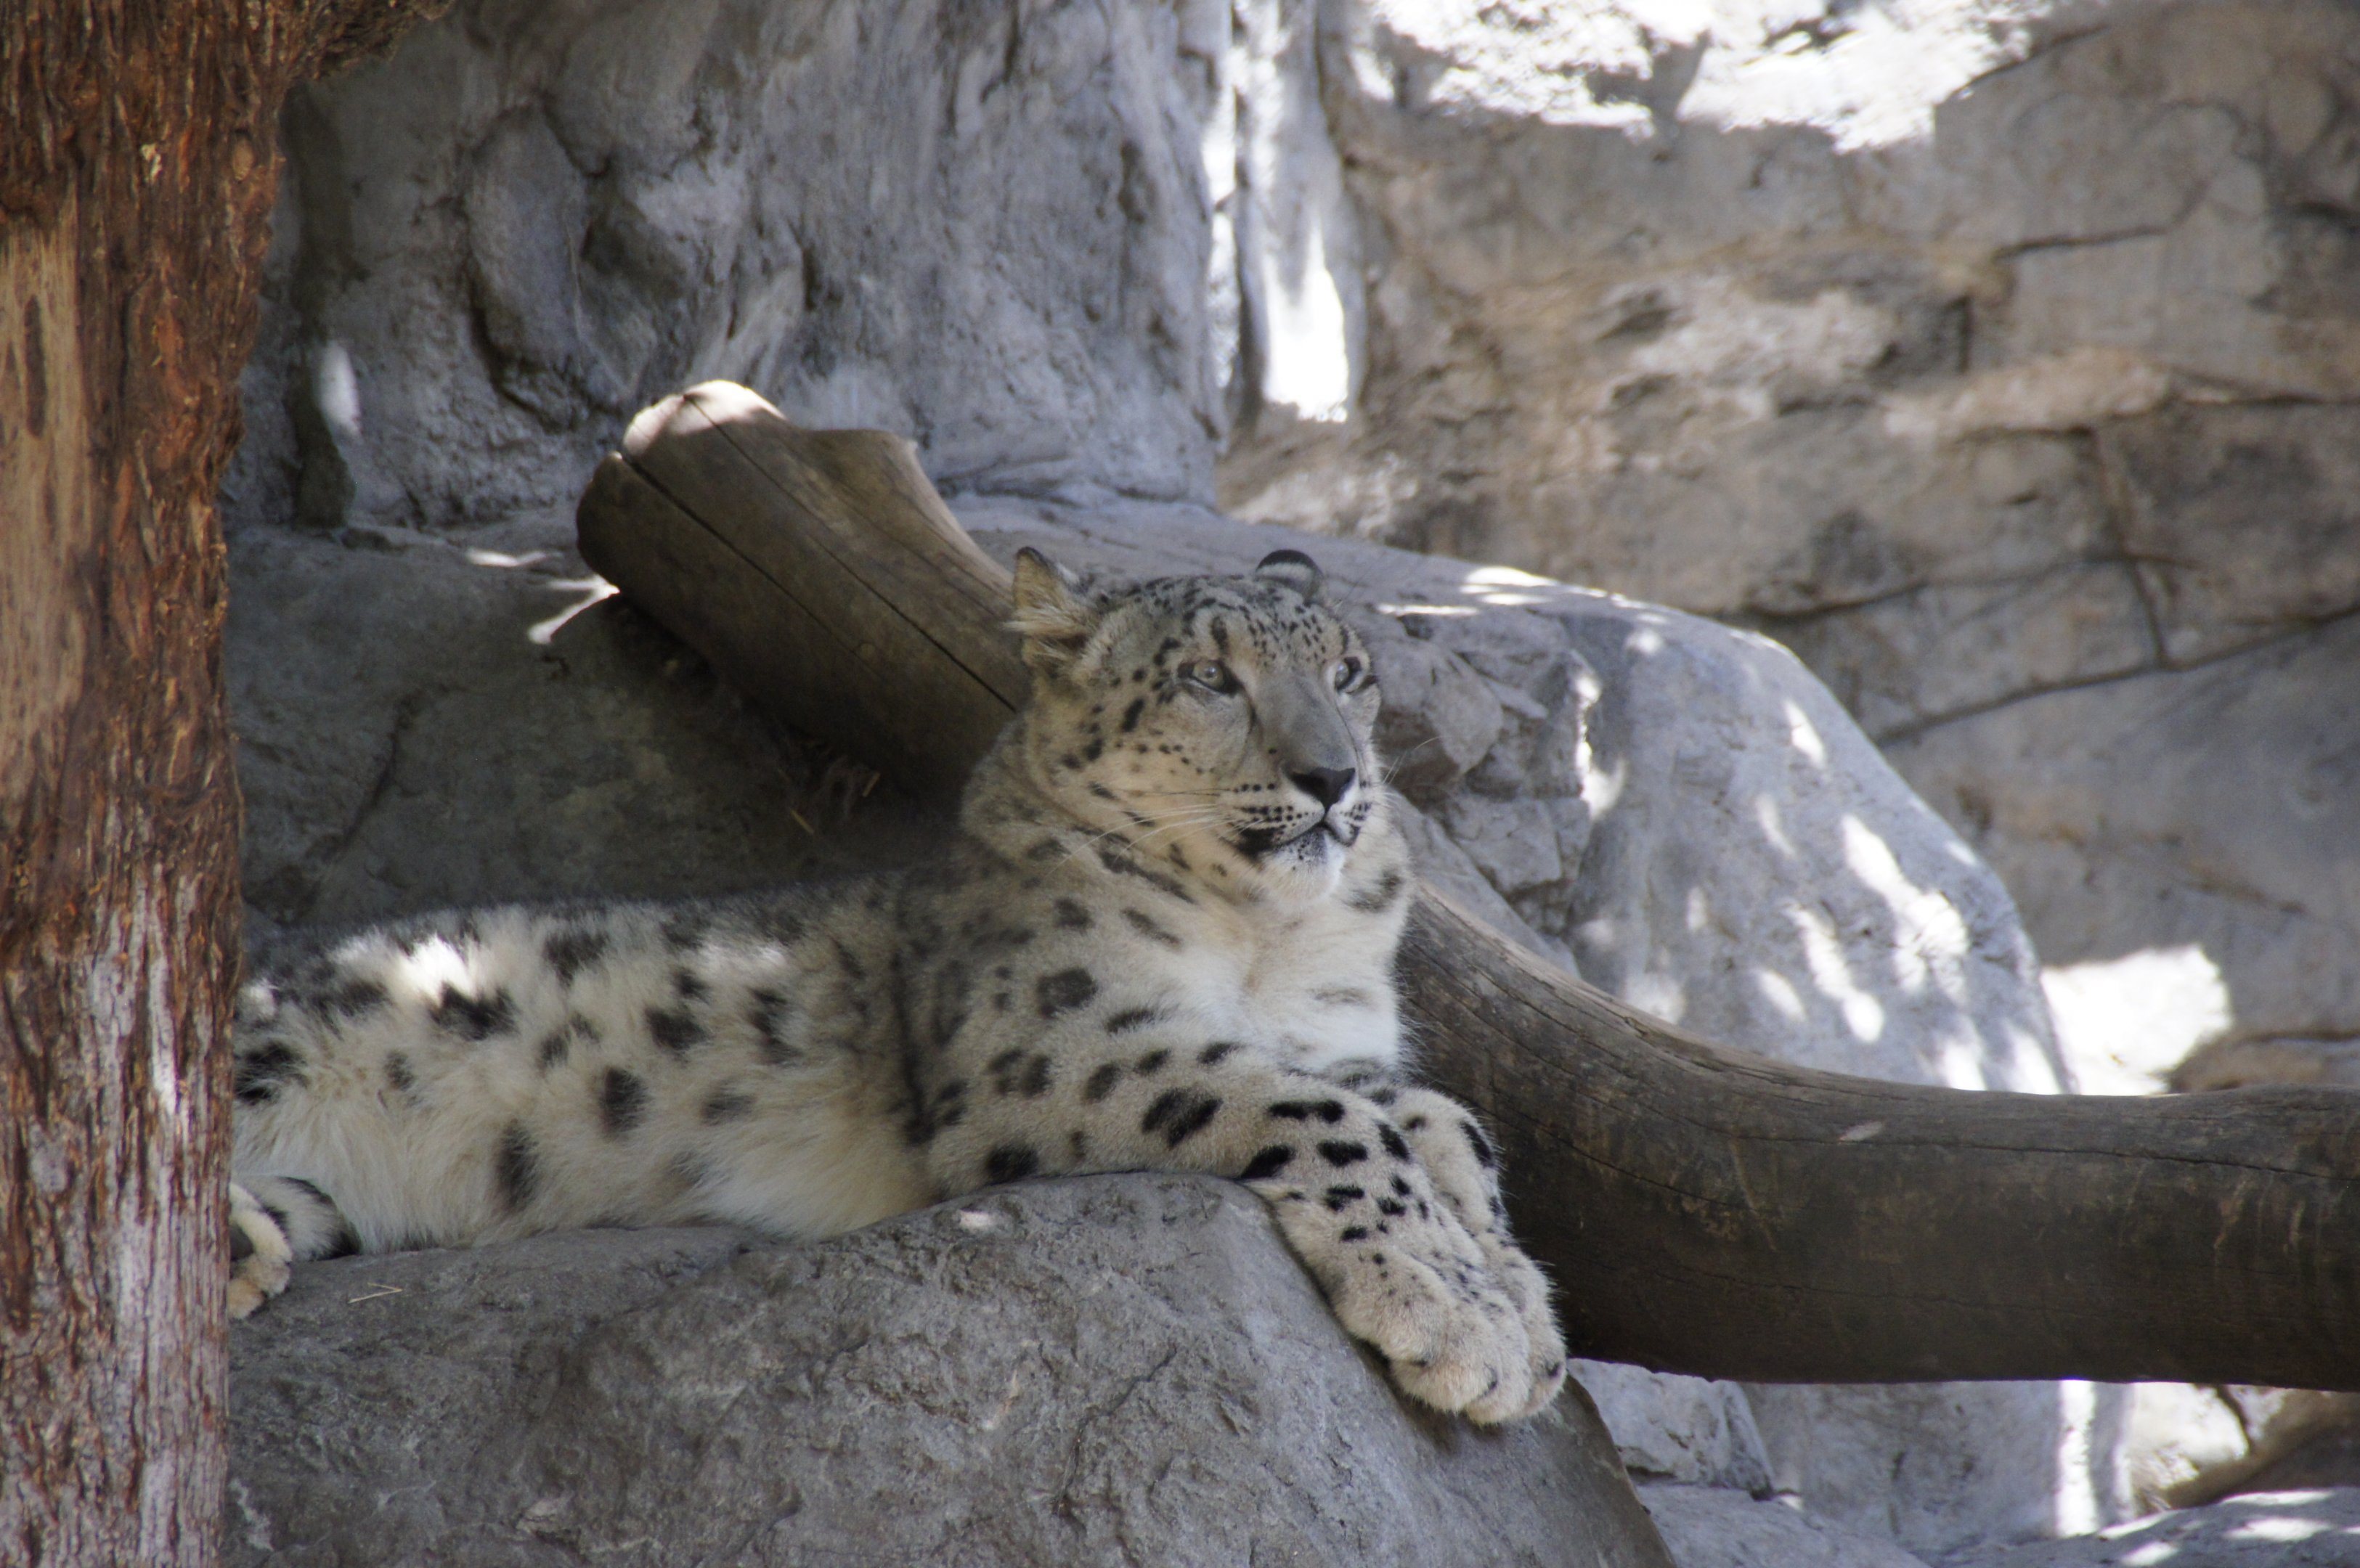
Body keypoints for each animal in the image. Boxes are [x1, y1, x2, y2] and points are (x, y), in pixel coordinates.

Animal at [227, 546, 1569, 1424]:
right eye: (1211, 680)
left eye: (1348, 672)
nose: (1335, 777)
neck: (1269, 939)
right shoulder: (1054, 1040)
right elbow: (1326, 1117)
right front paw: (1457, 1315)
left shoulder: (1348, 1043)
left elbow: (1444, 1122)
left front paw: (1513, 1297)